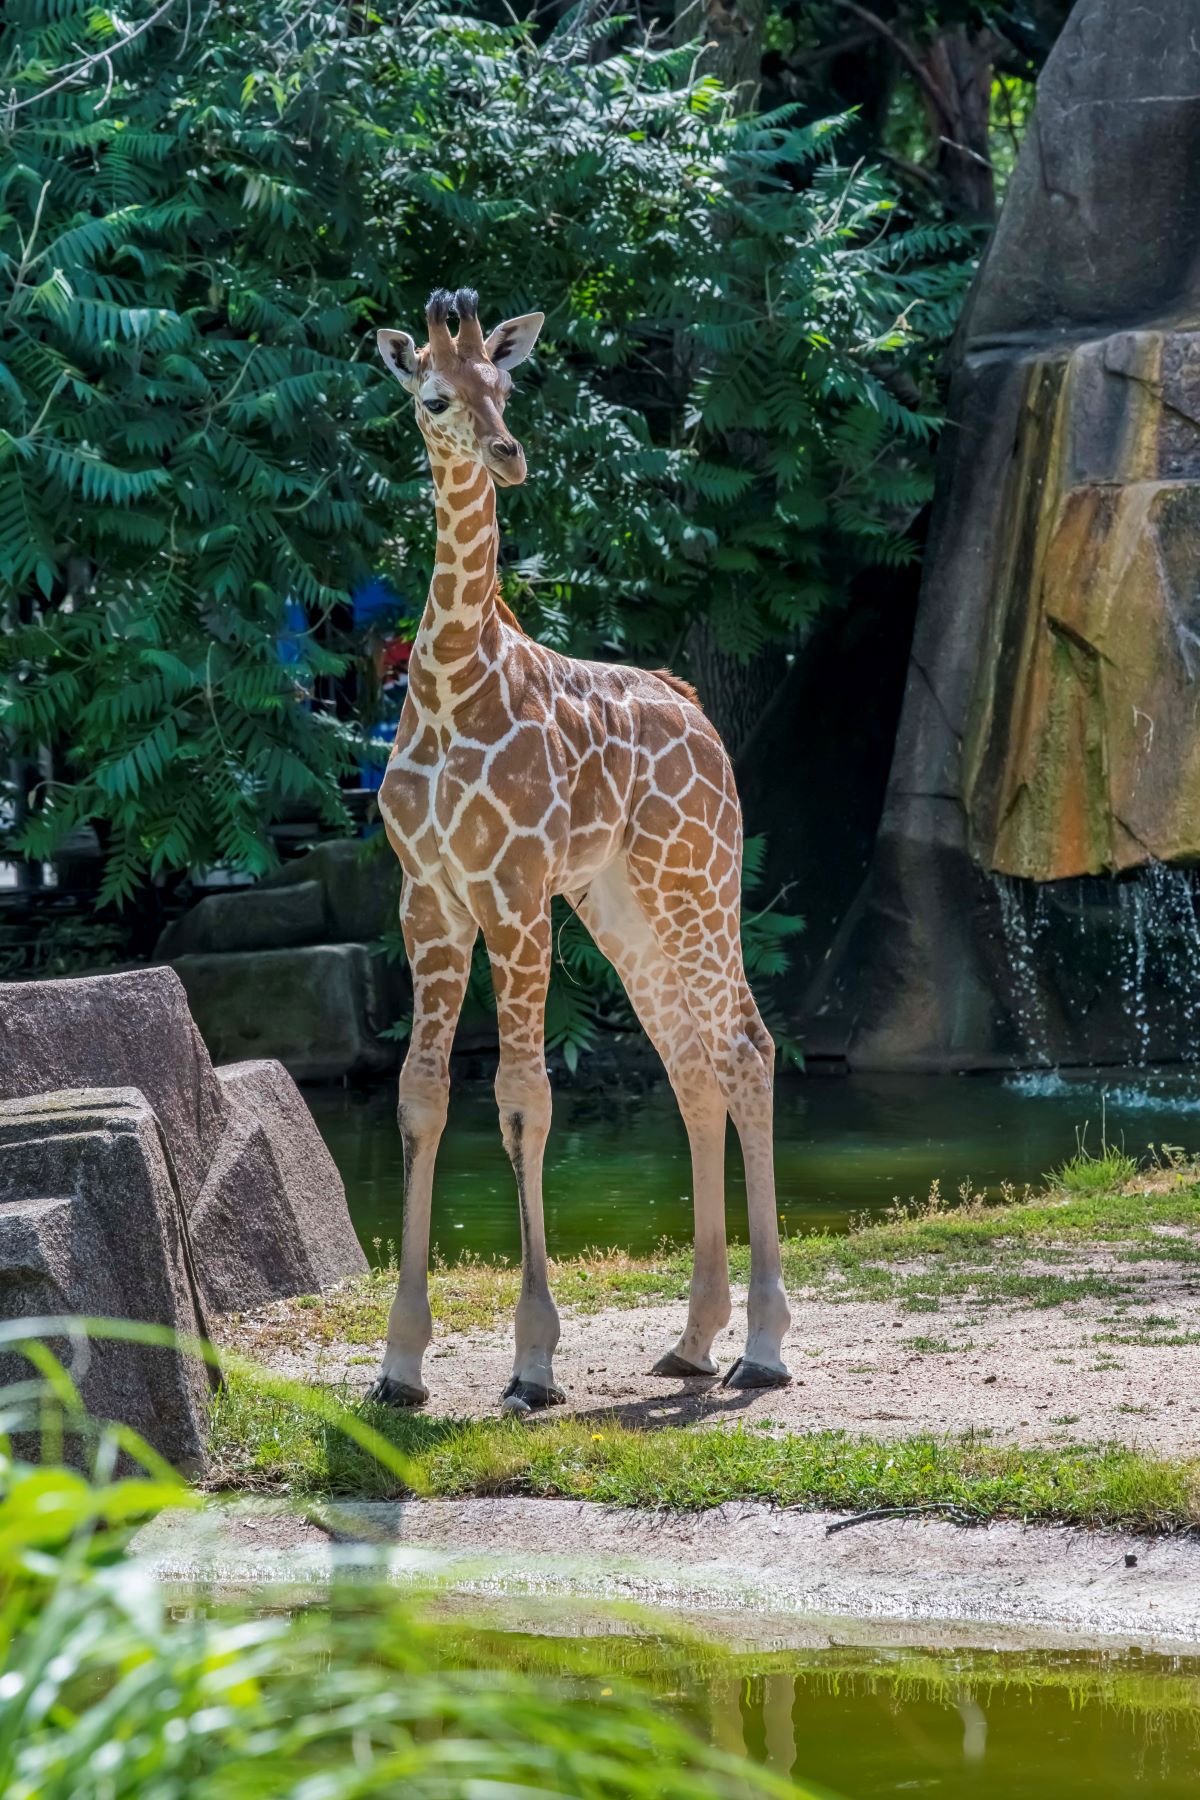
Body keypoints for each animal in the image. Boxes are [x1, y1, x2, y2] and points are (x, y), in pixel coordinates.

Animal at [370, 288, 791, 1411]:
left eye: (505, 387)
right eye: (433, 396)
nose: (508, 455)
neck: (448, 683)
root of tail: (697, 712)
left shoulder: (513, 894)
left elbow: (524, 1100)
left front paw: (532, 1362)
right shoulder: (428, 899)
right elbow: (421, 1098)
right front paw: (398, 1365)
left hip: (698, 882)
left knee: (746, 1048)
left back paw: (766, 1346)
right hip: (621, 901)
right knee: (692, 1064)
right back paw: (695, 1341)